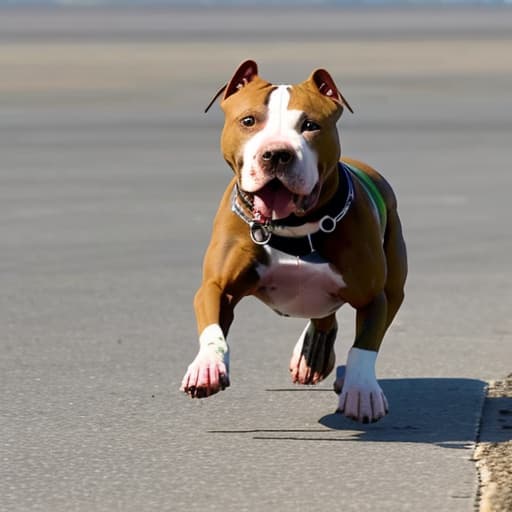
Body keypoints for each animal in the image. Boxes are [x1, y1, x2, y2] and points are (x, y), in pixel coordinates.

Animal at [180, 60, 408, 422]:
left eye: (310, 125)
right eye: (248, 121)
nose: (276, 154)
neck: (293, 229)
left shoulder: (374, 297)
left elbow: (364, 345)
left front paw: (362, 391)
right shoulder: (218, 286)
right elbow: (212, 323)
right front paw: (207, 367)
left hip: (395, 283)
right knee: (323, 316)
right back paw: (311, 355)